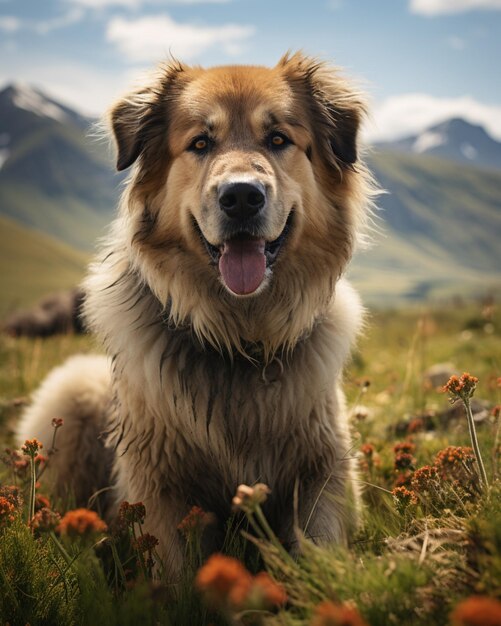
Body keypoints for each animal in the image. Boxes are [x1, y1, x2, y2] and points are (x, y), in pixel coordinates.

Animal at [17, 51, 374, 576]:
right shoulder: (157, 488)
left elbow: (321, 549)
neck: (241, 341)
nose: (242, 196)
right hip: (72, 387)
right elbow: (176, 575)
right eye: (200, 143)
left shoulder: (324, 469)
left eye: (278, 140)